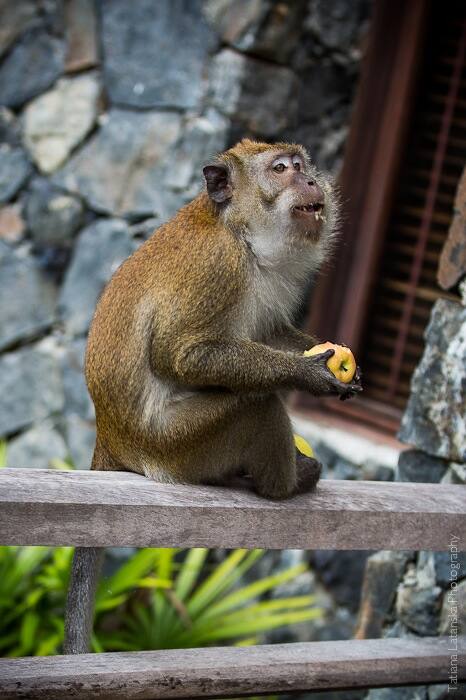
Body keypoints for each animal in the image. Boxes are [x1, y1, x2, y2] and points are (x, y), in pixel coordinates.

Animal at [64, 139, 362, 653]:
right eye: (280, 169)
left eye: (301, 164)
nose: (309, 180)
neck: (240, 234)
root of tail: (111, 433)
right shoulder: (217, 268)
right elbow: (179, 354)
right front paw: (310, 374)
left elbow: (270, 332)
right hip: (178, 445)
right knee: (258, 404)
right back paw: (285, 484)